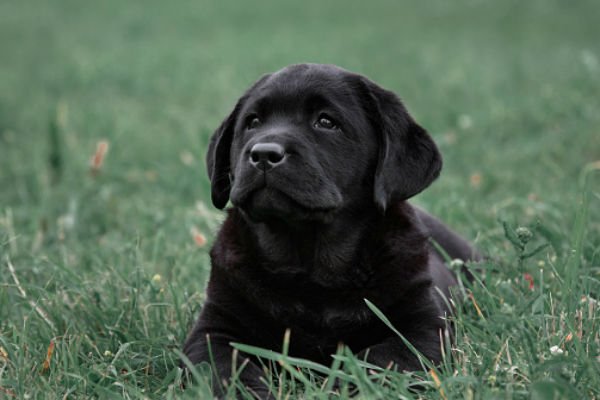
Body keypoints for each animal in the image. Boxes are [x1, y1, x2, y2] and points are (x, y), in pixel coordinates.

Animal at [182, 64, 478, 398]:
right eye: (253, 122)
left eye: (326, 122)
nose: (263, 154)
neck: (309, 265)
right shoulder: (214, 329)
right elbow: (223, 368)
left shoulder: (422, 328)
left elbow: (377, 359)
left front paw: (338, 386)